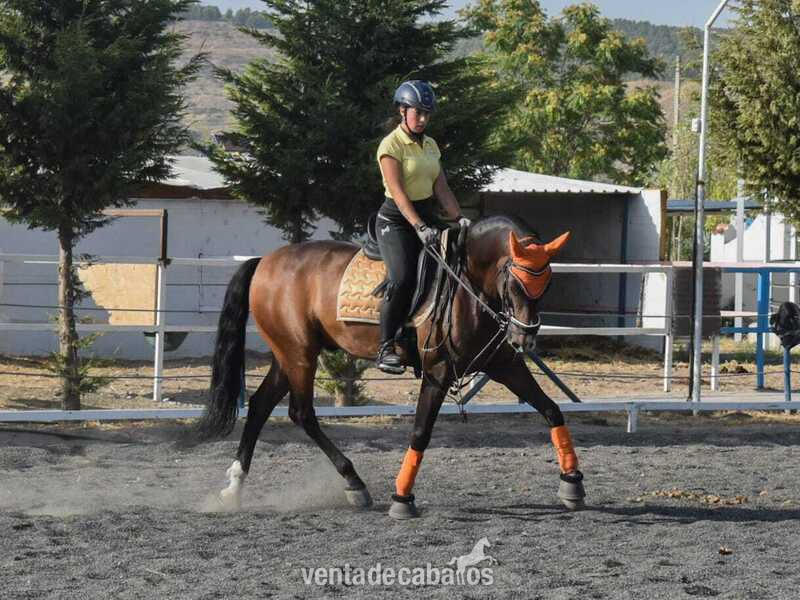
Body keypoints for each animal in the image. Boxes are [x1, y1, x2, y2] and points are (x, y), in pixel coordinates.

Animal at [195, 214, 586, 518]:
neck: (469, 284)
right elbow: (421, 432)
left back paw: (234, 489)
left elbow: (551, 410)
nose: (526, 338)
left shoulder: (503, 364)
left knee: (261, 406)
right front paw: (402, 498)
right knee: (301, 413)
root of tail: (265, 261)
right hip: (299, 354)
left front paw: (573, 484)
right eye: (515, 281)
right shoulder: (438, 373)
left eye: (547, 281)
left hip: (287, 354)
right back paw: (354, 483)